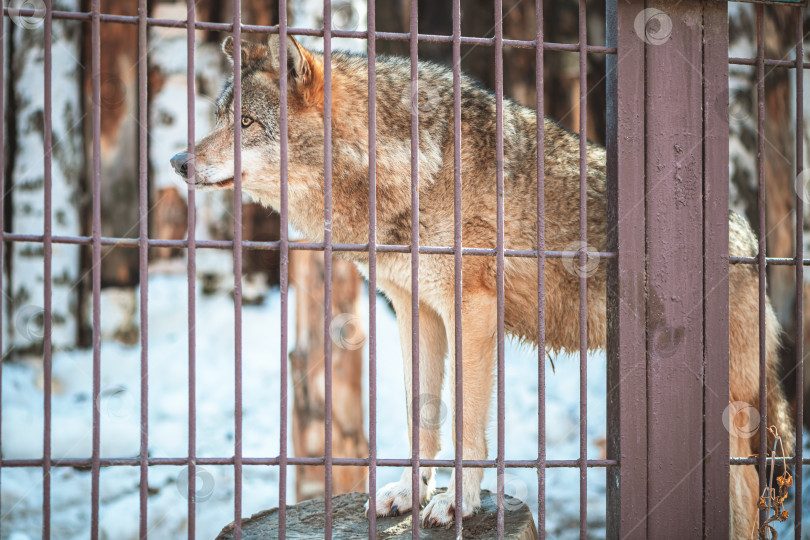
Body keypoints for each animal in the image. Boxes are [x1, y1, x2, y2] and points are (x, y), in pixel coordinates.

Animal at [167, 34, 792, 536]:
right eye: (220, 117)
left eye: (245, 124)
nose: (175, 162)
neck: (405, 168)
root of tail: (749, 238)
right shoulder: (413, 310)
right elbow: (420, 419)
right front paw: (410, 493)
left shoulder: (470, 308)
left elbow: (466, 426)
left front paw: (456, 503)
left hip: (731, 420)